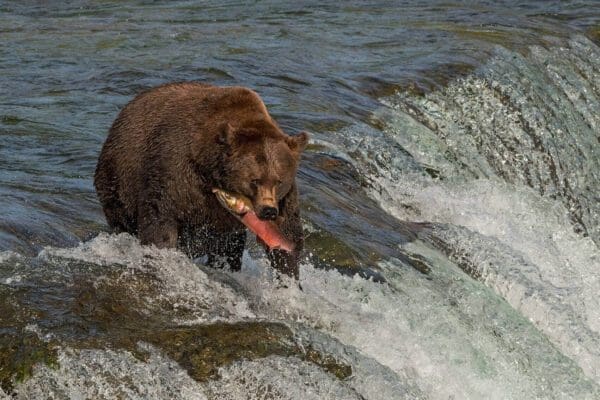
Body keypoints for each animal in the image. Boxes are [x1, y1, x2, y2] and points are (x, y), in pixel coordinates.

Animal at [96, 82, 310, 278]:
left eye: (279, 181)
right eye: (255, 180)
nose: (268, 211)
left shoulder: (286, 198)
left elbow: (288, 234)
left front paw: (288, 277)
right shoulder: (176, 171)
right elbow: (161, 217)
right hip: (118, 180)